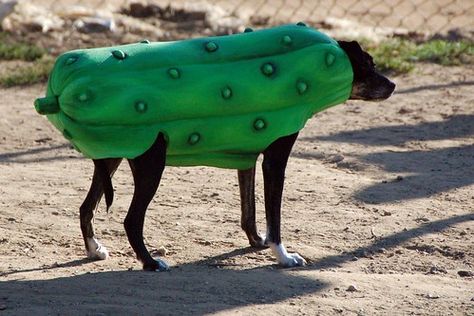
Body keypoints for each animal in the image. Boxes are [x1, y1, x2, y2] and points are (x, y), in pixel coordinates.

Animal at [79, 40, 394, 270]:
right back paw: (151, 263)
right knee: (131, 220)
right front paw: (283, 256)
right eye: (367, 65)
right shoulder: (274, 162)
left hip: (112, 159)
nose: (393, 85)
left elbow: (249, 212)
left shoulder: (247, 157)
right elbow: (274, 217)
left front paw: (257, 242)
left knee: (86, 208)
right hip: (151, 166)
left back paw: (95, 249)